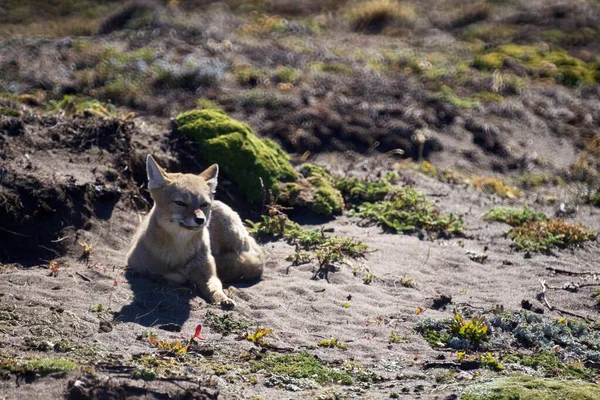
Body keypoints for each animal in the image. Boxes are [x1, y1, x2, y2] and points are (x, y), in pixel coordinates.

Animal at [125, 155, 264, 308]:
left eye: (204, 204)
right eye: (180, 203)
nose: (200, 220)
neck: (179, 251)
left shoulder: (209, 274)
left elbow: (215, 286)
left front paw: (222, 298)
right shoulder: (135, 265)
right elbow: (168, 275)